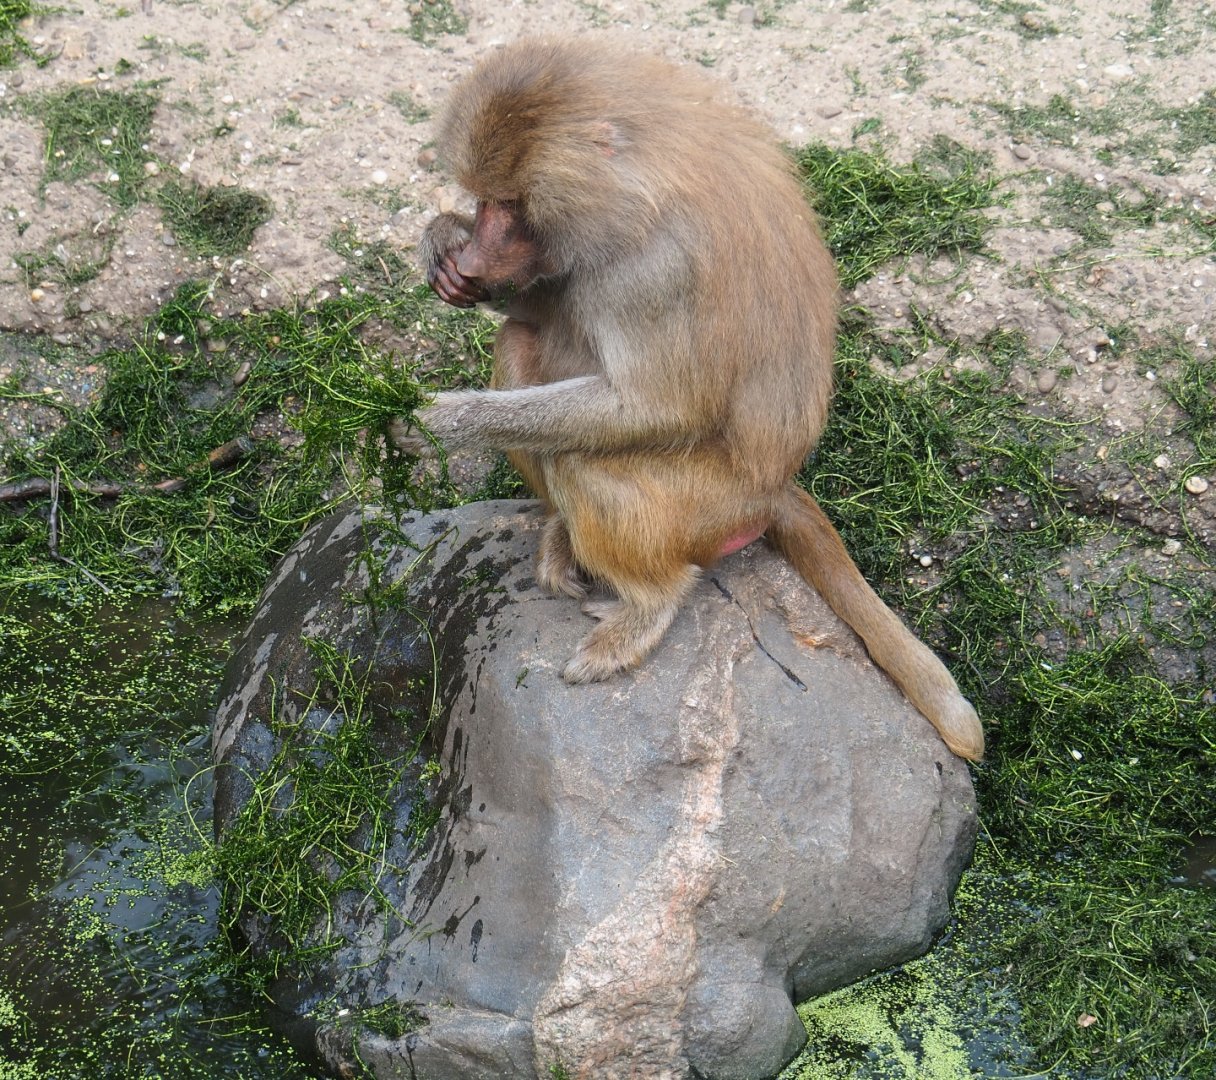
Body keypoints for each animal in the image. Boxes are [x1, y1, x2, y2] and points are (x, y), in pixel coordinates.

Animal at [392, 38, 985, 762]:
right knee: (519, 343)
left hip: (710, 504)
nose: (477, 256)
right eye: (482, 203)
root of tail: (775, 486)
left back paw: (644, 610)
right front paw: (442, 244)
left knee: (589, 462)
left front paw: (441, 418)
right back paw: (562, 534)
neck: (640, 175)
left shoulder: (659, 269)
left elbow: (656, 407)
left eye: (508, 204)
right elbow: (540, 310)